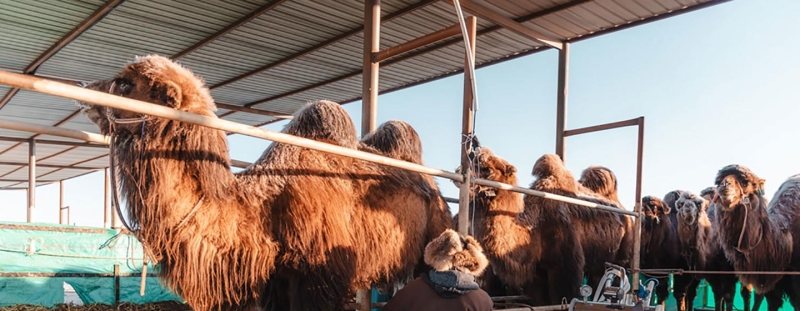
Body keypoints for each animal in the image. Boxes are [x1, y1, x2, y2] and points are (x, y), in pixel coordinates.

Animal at [79, 54, 450, 310]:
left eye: (125, 83)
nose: (85, 89)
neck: (262, 210)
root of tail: (434, 187)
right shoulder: (277, 280)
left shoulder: (319, 278)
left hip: (434, 234)